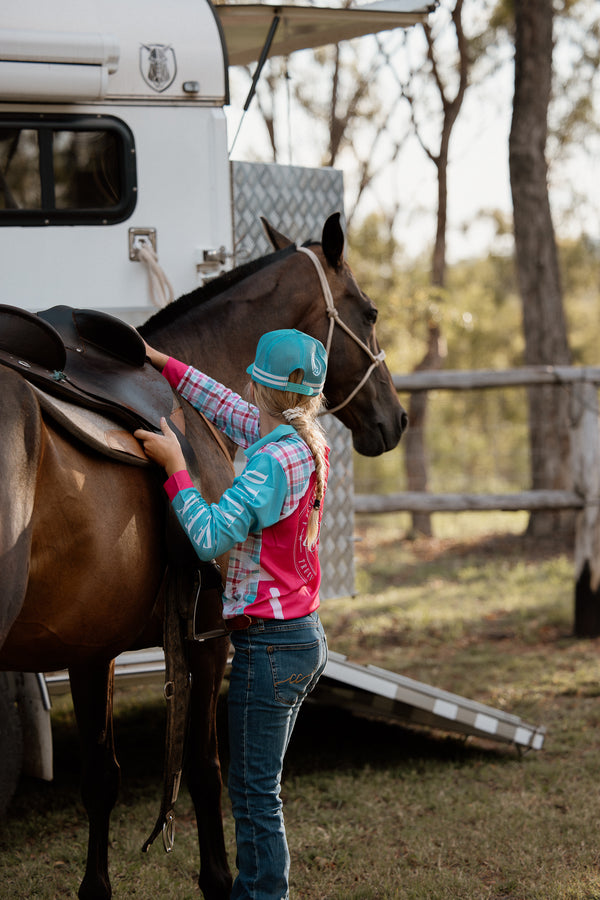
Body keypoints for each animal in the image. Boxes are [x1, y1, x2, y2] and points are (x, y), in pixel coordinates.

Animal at [0, 213, 408, 900]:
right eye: (371, 311)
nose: (397, 418)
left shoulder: (90, 643)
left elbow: (101, 778)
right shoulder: (211, 635)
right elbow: (204, 768)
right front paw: (219, 877)